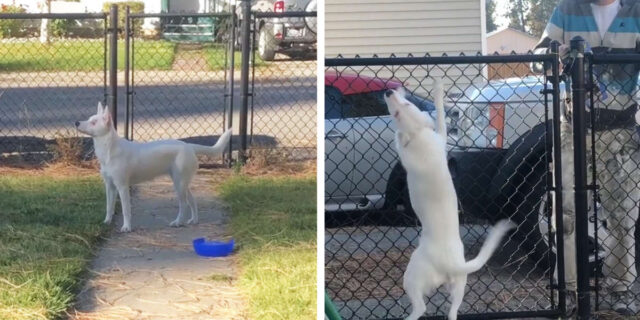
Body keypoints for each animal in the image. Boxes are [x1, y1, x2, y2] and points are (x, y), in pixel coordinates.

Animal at [76, 102, 232, 232]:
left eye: (94, 122)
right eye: (89, 118)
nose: (76, 122)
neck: (109, 149)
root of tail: (189, 146)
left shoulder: (122, 187)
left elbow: (126, 210)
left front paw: (126, 227)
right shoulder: (110, 186)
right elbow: (109, 207)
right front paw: (106, 222)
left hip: (179, 184)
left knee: (183, 204)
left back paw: (178, 222)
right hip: (182, 183)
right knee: (192, 201)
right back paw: (194, 220)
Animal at [384, 80, 516, 320]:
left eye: (404, 107)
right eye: (398, 110)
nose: (389, 91)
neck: (419, 135)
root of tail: (450, 264)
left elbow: (434, 118)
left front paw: (437, 89)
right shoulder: (440, 139)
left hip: (412, 277)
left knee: (421, 308)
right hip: (459, 287)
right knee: (452, 310)